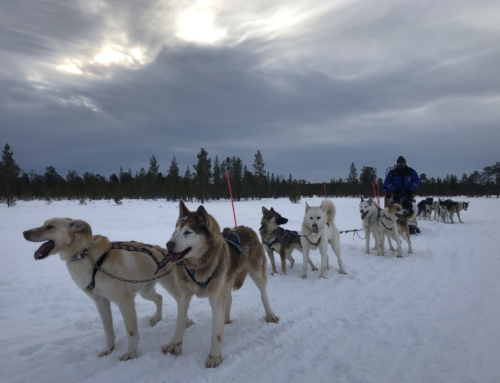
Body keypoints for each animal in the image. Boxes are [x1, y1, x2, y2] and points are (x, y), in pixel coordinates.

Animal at [23, 219, 184, 364]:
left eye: (50, 226)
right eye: (43, 224)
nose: (24, 233)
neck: (86, 255)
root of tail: (165, 250)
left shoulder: (125, 301)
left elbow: (131, 331)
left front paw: (131, 353)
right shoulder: (100, 301)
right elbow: (108, 330)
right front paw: (108, 350)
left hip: (172, 287)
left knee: (181, 302)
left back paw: (184, 322)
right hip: (145, 292)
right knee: (159, 298)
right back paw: (157, 318)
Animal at [162, 204, 278, 368]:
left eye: (188, 232)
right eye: (176, 231)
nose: (168, 244)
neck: (197, 268)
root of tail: (246, 228)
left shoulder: (215, 298)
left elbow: (215, 333)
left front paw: (215, 357)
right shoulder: (184, 296)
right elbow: (180, 323)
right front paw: (174, 345)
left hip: (257, 274)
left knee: (263, 295)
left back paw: (270, 314)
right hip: (227, 280)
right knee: (228, 298)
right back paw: (226, 317)